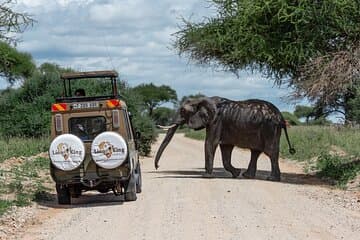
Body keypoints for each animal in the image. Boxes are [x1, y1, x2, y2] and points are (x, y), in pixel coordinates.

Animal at [155, 95, 296, 180]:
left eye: (183, 111)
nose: (158, 167)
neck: (202, 100)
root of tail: (281, 117)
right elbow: (226, 148)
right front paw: (236, 173)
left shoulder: (216, 121)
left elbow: (210, 143)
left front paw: (205, 176)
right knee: (256, 151)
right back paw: (246, 175)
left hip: (269, 128)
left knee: (270, 152)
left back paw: (271, 179)